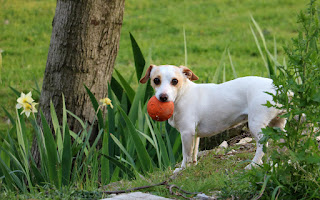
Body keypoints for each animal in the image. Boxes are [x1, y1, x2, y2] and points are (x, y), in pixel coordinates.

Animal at [140, 65, 284, 173]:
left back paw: (253, 165)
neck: (183, 94)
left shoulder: (186, 133)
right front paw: (193, 167)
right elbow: (194, 153)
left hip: (256, 125)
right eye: (156, 80)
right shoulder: (195, 135)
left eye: (175, 81)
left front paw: (183, 169)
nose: (163, 97)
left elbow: (186, 154)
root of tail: (280, 89)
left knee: (262, 146)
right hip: (278, 124)